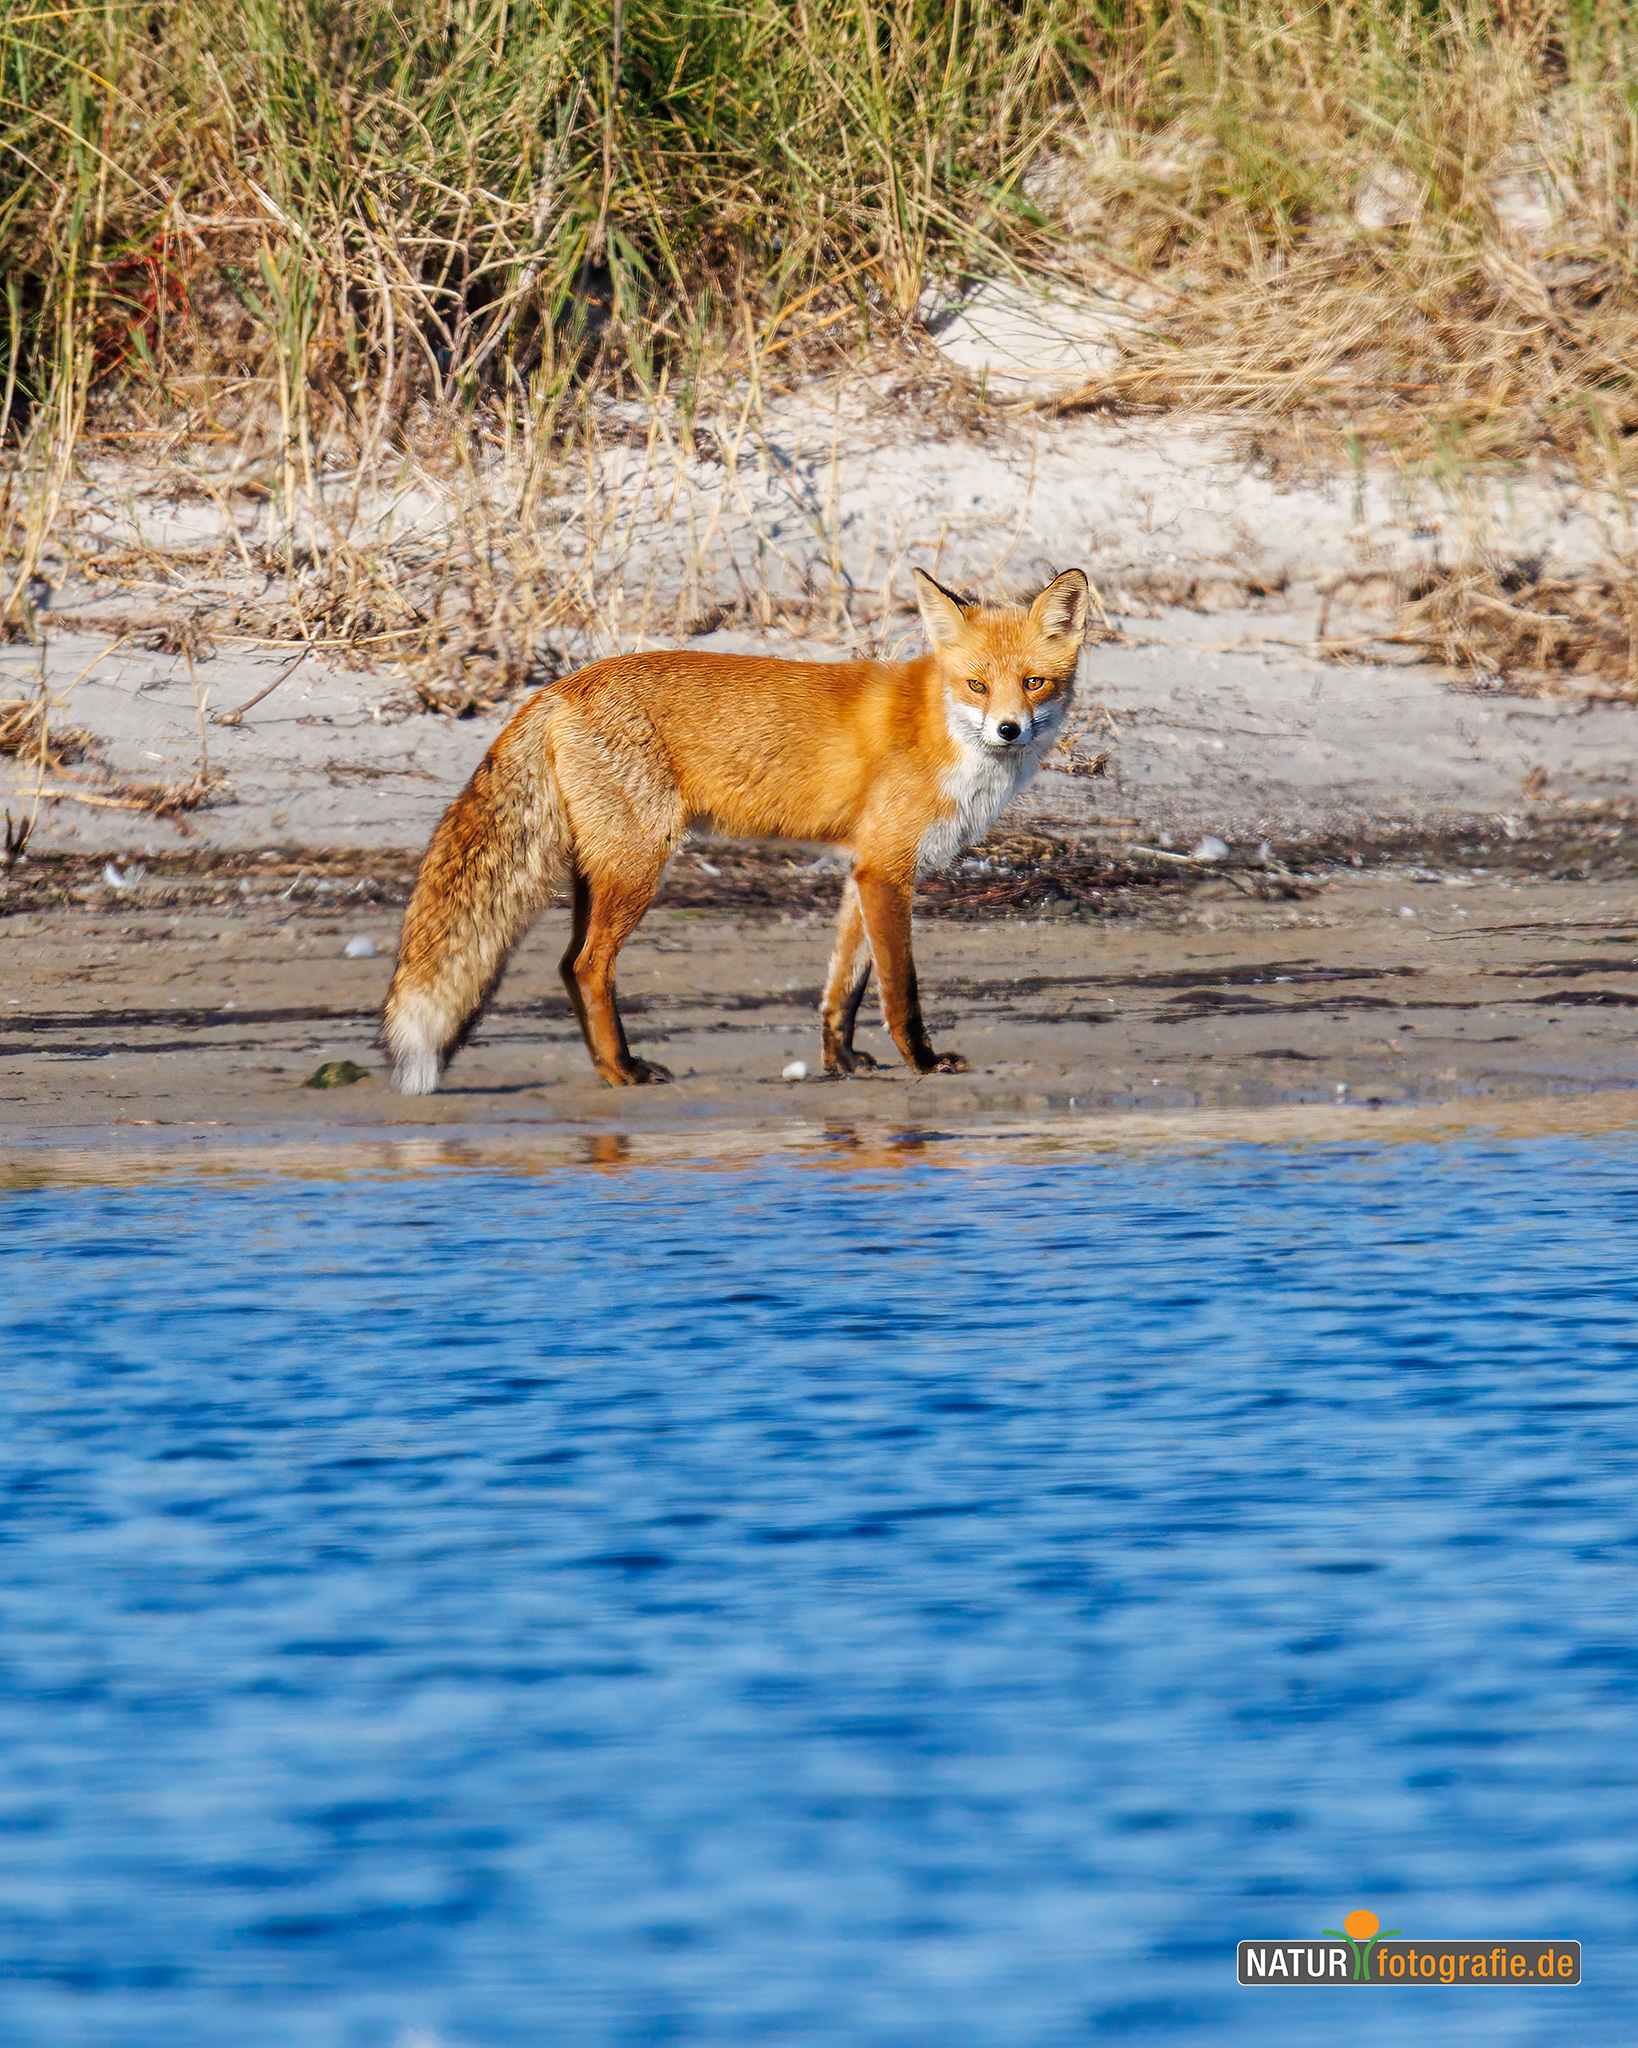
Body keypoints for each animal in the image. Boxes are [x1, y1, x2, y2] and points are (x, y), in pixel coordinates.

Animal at [382, 564, 1091, 1094]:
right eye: (977, 685)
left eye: (1034, 682)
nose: (1009, 730)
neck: (941, 729)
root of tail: (561, 685)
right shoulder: (887, 868)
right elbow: (899, 987)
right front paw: (922, 1061)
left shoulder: (865, 868)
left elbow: (843, 986)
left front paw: (842, 1064)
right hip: (639, 867)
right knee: (587, 965)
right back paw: (623, 1070)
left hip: (602, 868)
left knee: (566, 964)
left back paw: (608, 1066)